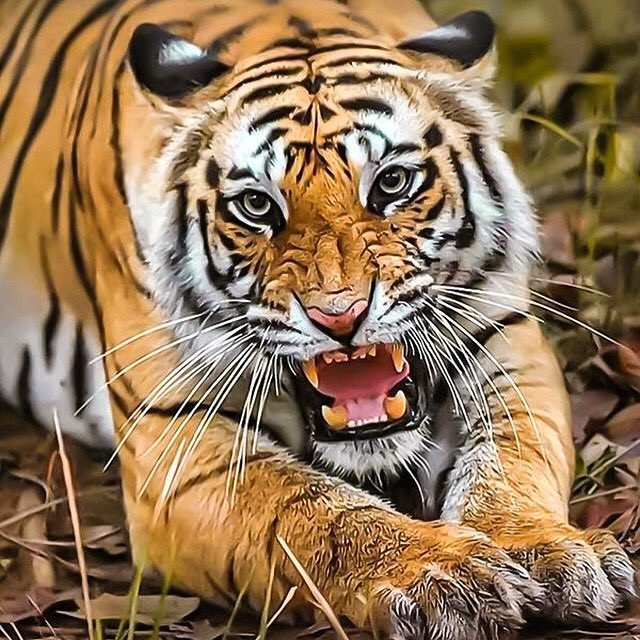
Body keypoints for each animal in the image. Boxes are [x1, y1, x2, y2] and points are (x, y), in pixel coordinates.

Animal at [0, 0, 636, 637]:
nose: (340, 316)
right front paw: (443, 574)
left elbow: (514, 457)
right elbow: (314, 513)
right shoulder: (177, 434)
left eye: (392, 182)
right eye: (256, 205)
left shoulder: (507, 339)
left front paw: (548, 548)